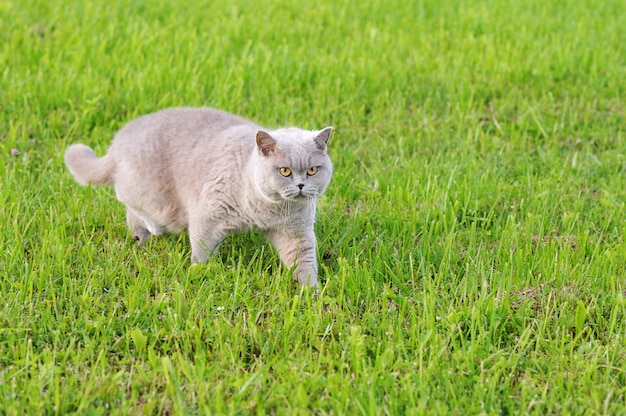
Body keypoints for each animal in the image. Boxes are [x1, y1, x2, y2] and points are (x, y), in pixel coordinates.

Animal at [64, 107, 332, 286]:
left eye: (312, 170)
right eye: (285, 171)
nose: (301, 185)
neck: (268, 211)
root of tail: (116, 144)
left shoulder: (296, 231)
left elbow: (303, 260)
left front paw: (310, 294)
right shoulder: (209, 214)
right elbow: (202, 248)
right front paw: (199, 272)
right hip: (154, 197)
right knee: (129, 201)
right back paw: (151, 230)